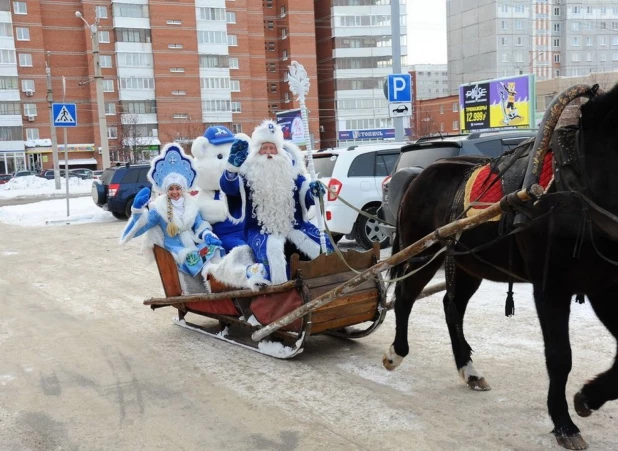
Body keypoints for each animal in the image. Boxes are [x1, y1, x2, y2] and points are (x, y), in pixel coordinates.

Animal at [380, 83, 616, 450]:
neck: (577, 182)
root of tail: (421, 174)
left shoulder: (603, 285)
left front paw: (588, 397)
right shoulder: (551, 287)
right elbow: (559, 356)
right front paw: (563, 423)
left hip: (467, 263)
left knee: (451, 307)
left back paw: (469, 368)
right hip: (423, 251)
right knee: (405, 297)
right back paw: (397, 352)